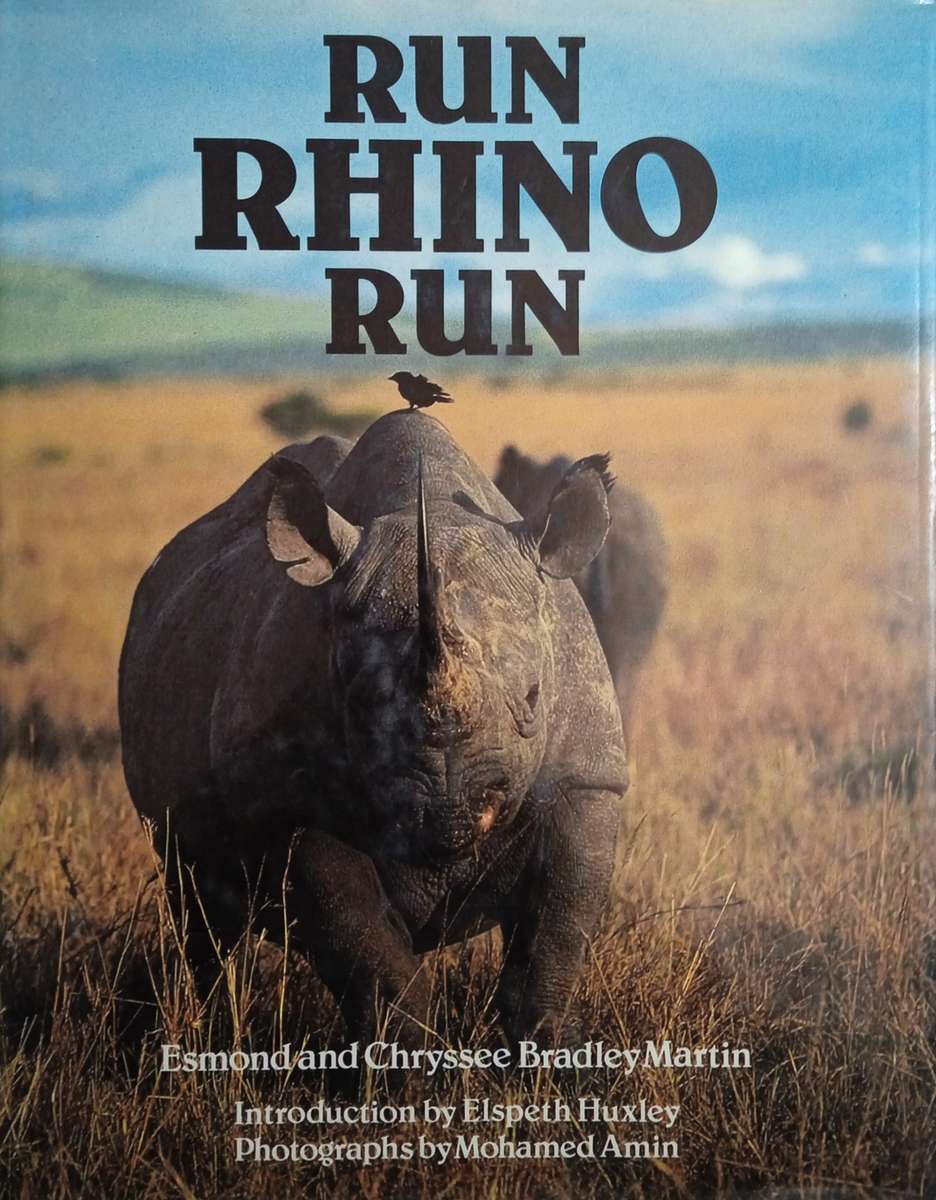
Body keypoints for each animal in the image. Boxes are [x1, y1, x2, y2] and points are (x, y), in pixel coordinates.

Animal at [119, 411, 628, 1050]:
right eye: (357, 704)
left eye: (535, 699)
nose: (451, 809)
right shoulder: (284, 803)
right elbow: (363, 948)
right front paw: (401, 1064)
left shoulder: (585, 778)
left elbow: (552, 942)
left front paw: (546, 1056)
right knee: (200, 911)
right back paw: (200, 1031)